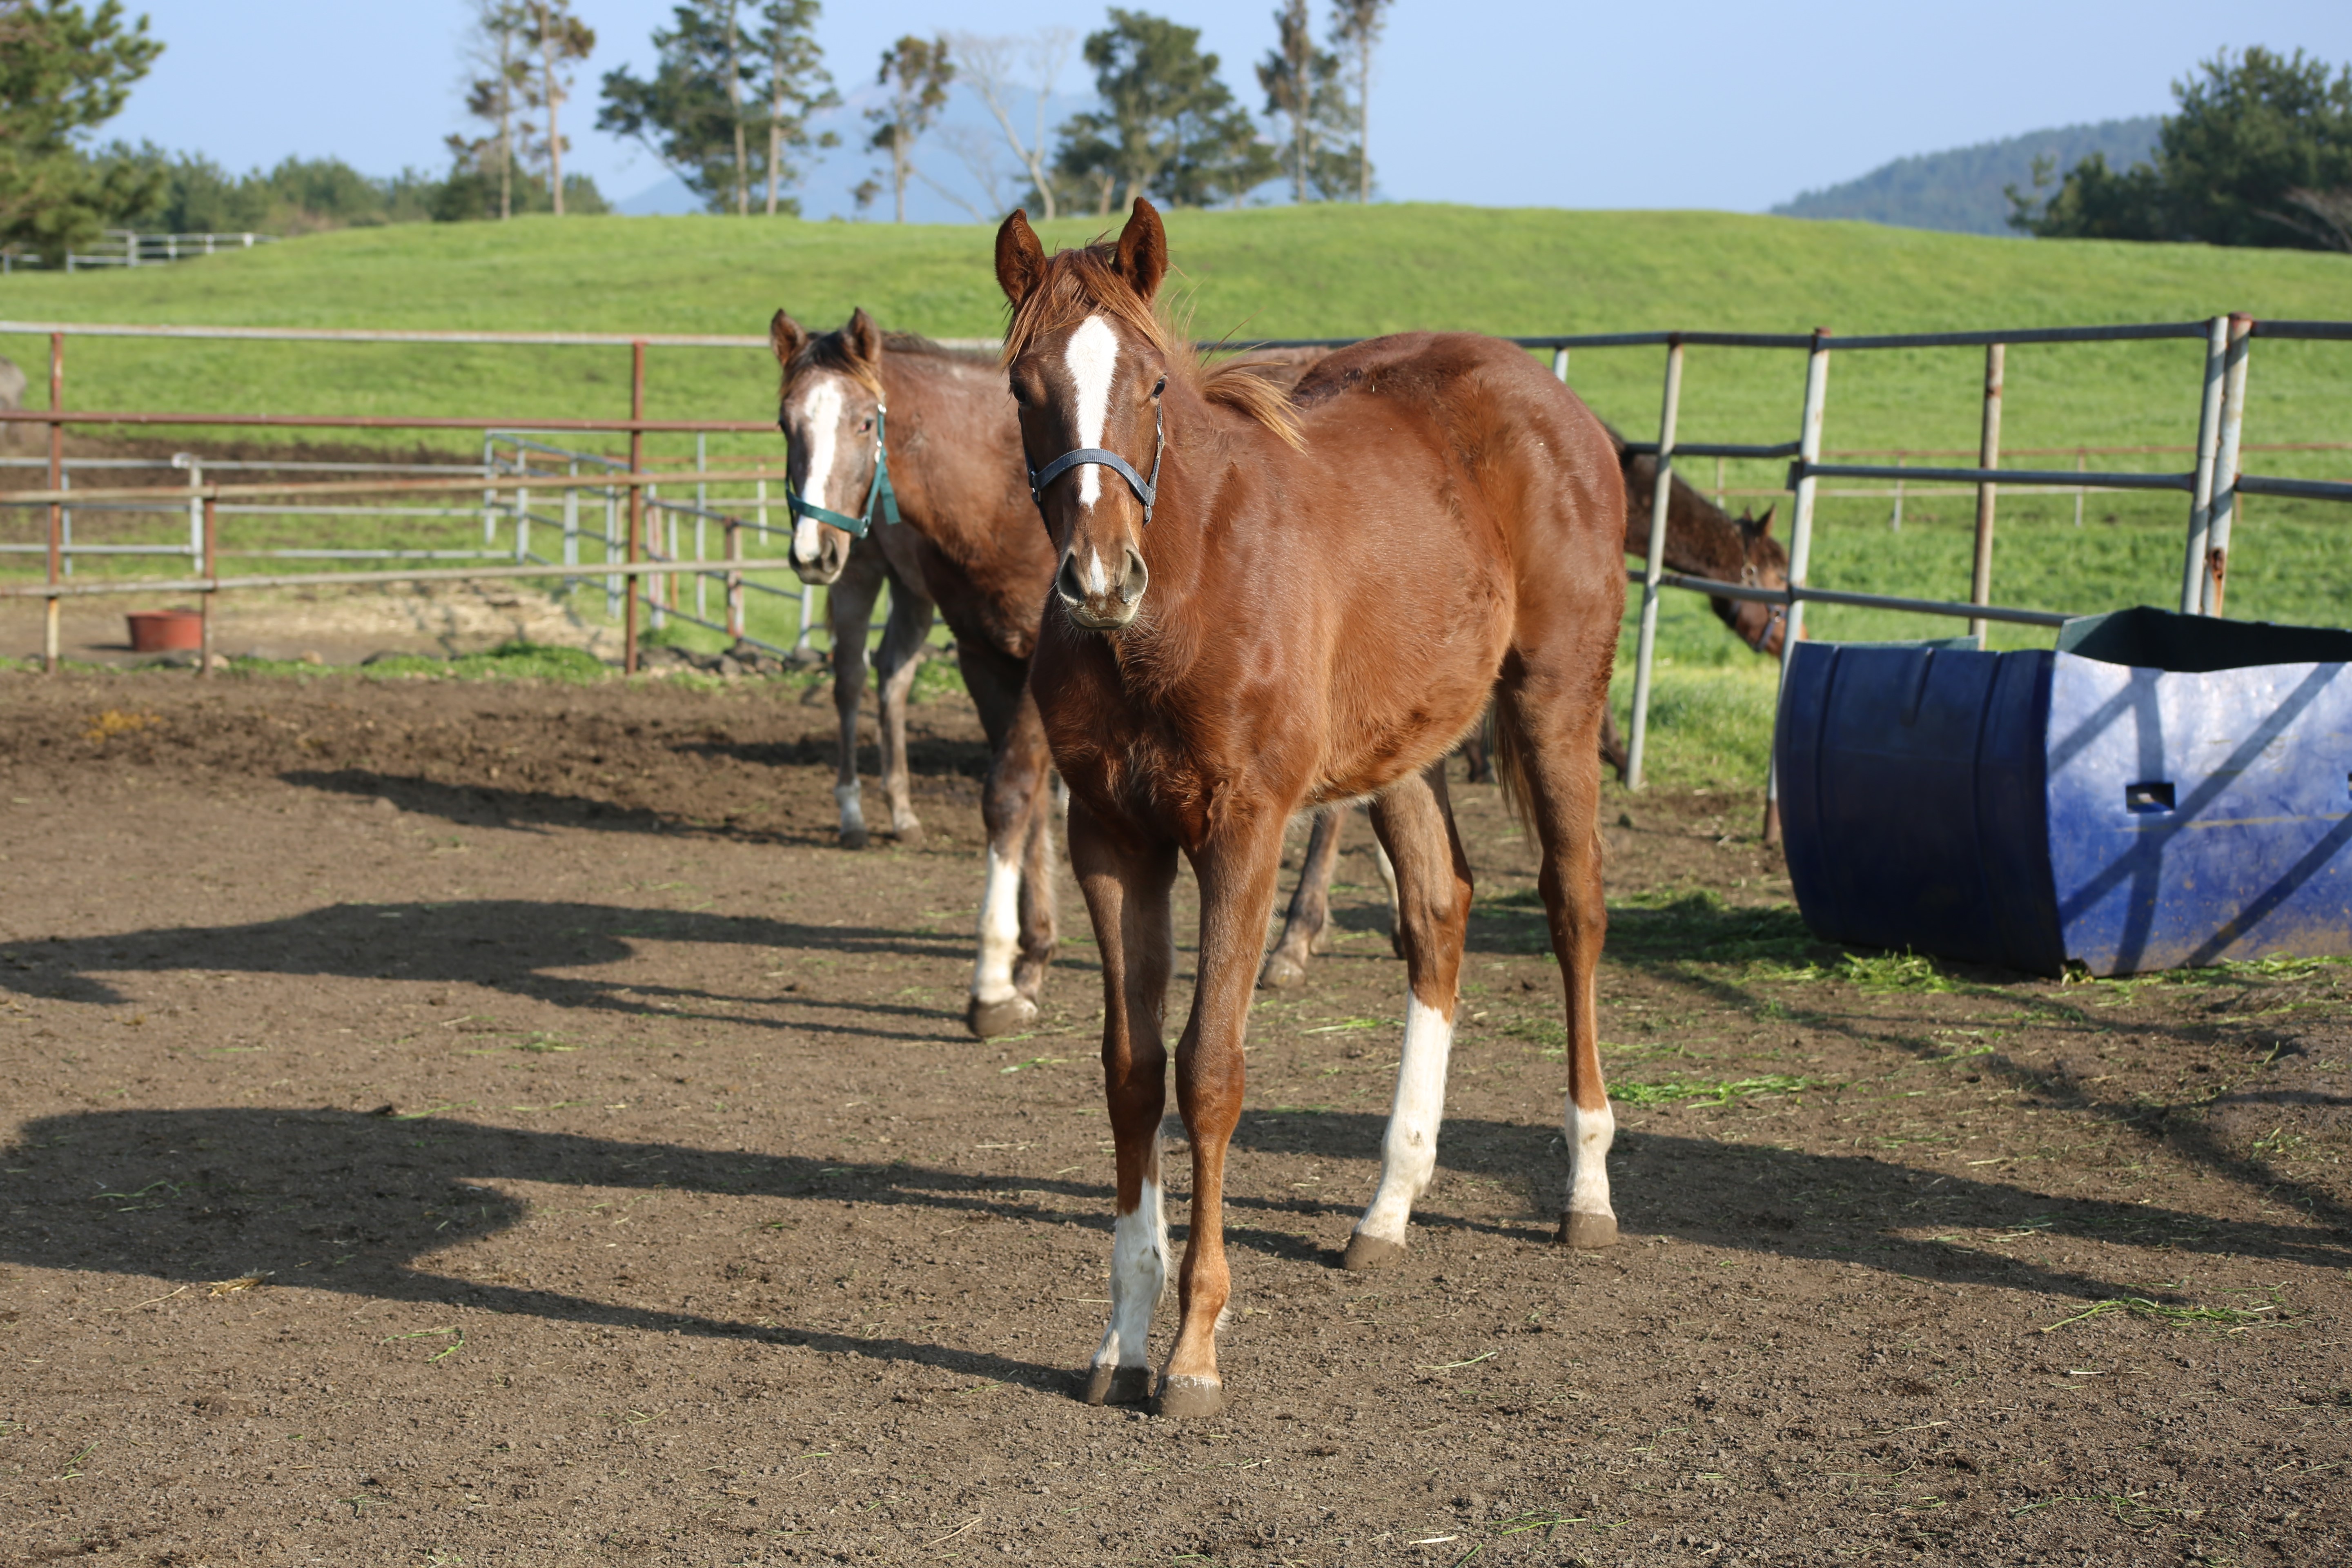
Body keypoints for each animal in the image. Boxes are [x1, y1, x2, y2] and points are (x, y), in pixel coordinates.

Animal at [771, 310, 1068, 1034]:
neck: (1008, 499)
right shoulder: (985, 657)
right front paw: (1028, 965)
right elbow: (1026, 806)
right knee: (867, 677)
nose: (812, 551)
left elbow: (1012, 797)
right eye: (785, 423)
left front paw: (993, 982)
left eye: (864, 423)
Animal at [1002, 202, 1627, 1420]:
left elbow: (1208, 1070)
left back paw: (1587, 1187)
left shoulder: (1243, 830)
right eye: (1022, 386)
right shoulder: (1113, 839)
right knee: (1438, 913)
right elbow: (1131, 1071)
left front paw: (1195, 1349)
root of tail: (1553, 400)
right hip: (1404, 751)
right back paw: (1388, 1203)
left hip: (1554, 704)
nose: (1099, 579)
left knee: (1573, 905)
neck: (1180, 601)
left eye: (1152, 383)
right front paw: (1124, 1334)